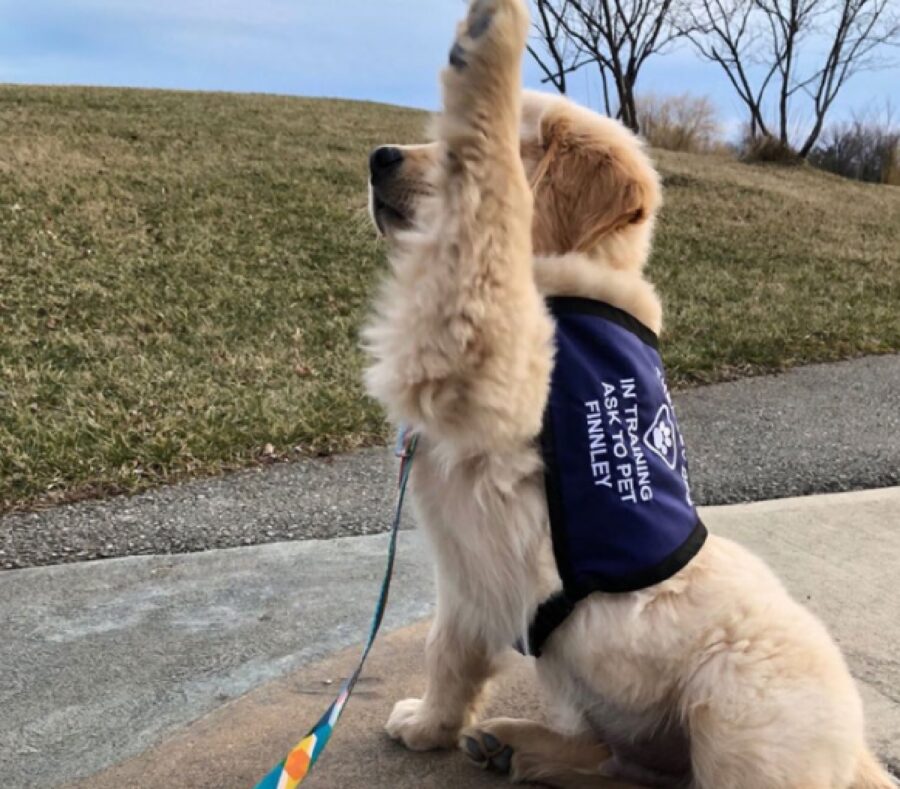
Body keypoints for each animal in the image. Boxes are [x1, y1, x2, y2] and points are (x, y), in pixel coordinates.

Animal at [358, 3, 892, 784]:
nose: (379, 159)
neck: (569, 274)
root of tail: (858, 752)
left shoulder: (491, 363)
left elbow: (484, 218)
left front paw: (489, 51)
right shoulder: (467, 579)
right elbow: (449, 651)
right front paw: (430, 725)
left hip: (738, 701)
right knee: (618, 760)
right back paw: (514, 744)